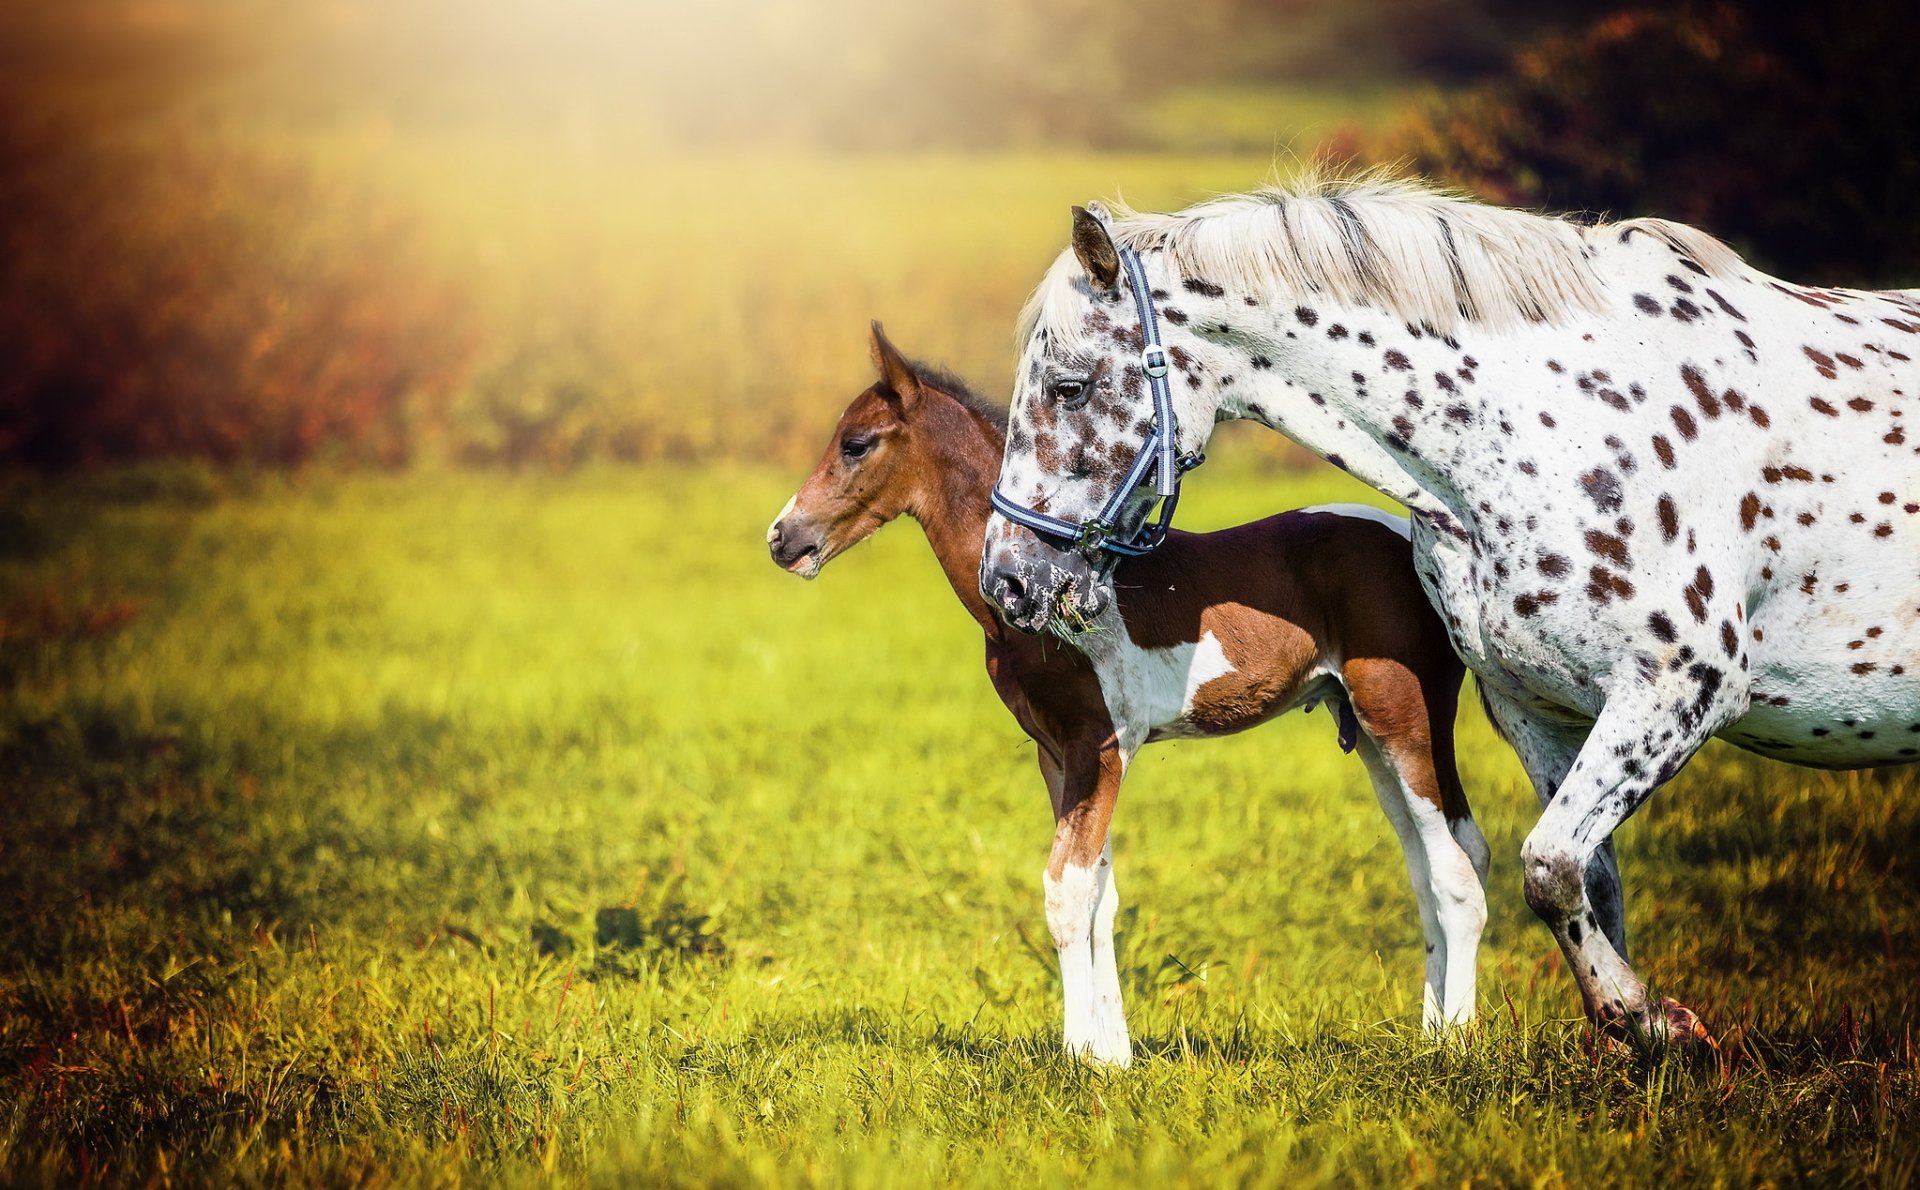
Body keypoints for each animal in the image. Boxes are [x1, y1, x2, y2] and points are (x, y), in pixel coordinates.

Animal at [768, 322, 1489, 1066]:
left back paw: (1455, 1043)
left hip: (1402, 716)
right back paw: (1429, 1031)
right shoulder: (1056, 753)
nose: (782, 538)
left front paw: (1080, 1057)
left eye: (856, 443)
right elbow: (1100, 893)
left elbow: (1068, 891)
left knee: (1457, 872)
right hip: (1367, 731)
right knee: (1429, 864)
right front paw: (1114, 1056)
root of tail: (1424, 555)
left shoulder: (1102, 745)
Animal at [979, 169, 1920, 1049]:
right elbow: (1587, 879)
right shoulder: (1537, 708)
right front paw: (1630, 1046)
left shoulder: (1681, 688)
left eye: (1068, 388)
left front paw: (1653, 1020)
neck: (1561, 419)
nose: (1008, 581)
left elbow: (1548, 864)